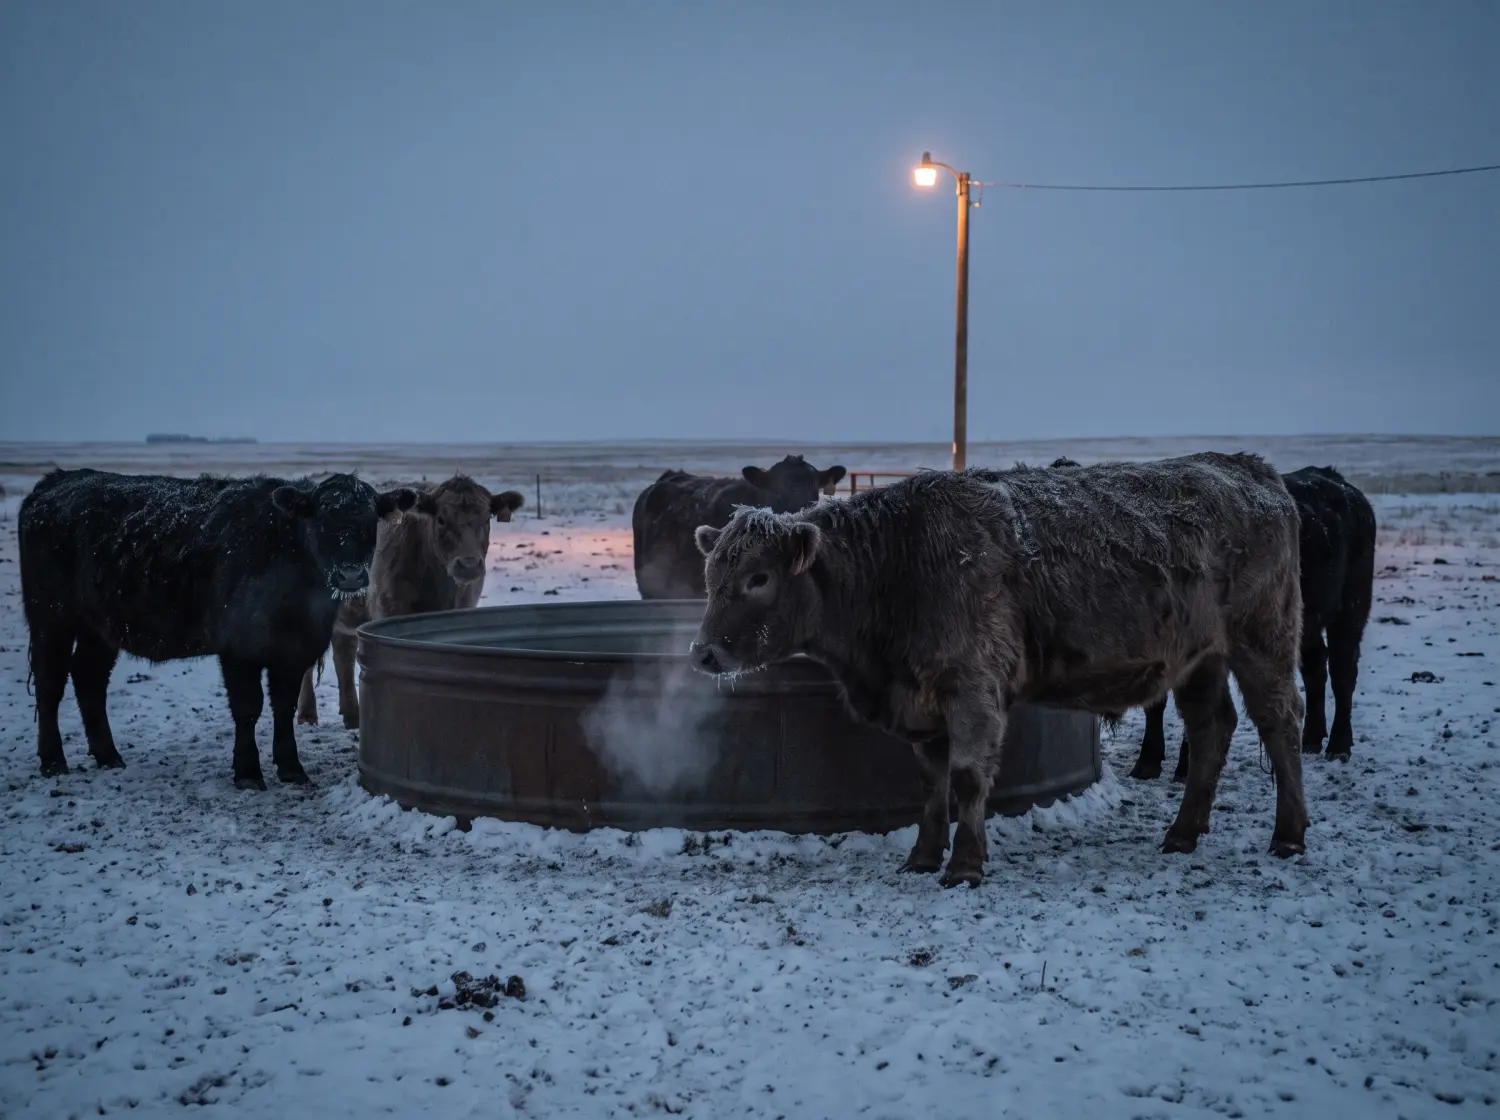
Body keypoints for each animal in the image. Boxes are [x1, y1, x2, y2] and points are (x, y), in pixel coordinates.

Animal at [18, 469, 417, 789]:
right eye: (322, 519)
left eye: (370, 521)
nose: (350, 574)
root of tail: (56, 481)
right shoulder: (239, 647)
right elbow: (248, 707)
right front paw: (248, 773)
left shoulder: (293, 649)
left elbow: (284, 706)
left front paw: (291, 768)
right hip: (50, 617)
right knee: (50, 682)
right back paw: (53, 761)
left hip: (98, 626)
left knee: (89, 677)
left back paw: (108, 755)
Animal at [296, 474, 525, 729]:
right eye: (441, 519)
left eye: (486, 519)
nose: (469, 564)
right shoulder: (388, 611)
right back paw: (307, 713)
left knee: (343, 653)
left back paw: (352, 716)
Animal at [688, 453, 1310, 887]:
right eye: (711, 575)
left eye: (759, 578)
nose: (704, 652)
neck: (898, 563)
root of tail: (1249, 468)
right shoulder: (923, 702)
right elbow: (932, 783)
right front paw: (922, 856)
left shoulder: (972, 687)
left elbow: (967, 777)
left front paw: (965, 864)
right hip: (1201, 660)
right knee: (1212, 730)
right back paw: (1183, 832)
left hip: (1264, 641)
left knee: (1281, 725)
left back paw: (1289, 835)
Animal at [1130, 464, 1377, 780]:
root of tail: (1339, 482)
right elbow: (1155, 703)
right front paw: (1147, 762)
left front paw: (1185, 766)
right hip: (1305, 621)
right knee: (1315, 666)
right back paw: (1311, 738)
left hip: (1351, 606)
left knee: (1343, 669)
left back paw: (1339, 745)